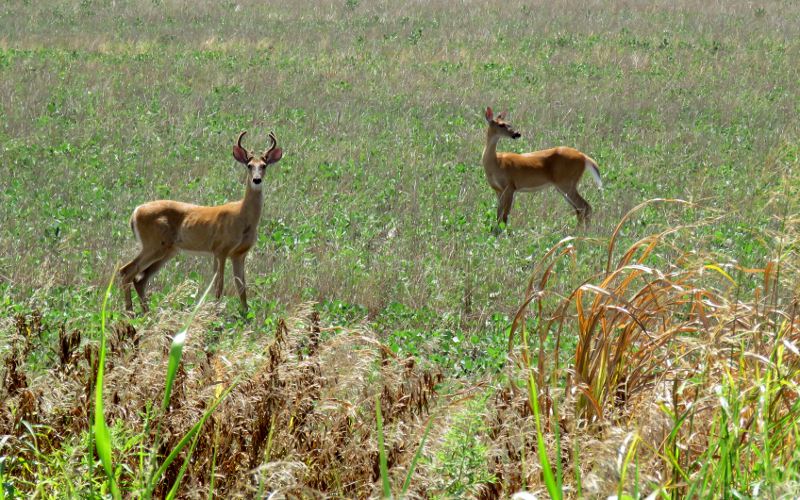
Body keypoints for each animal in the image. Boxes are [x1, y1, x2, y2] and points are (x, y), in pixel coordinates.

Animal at [117, 131, 282, 314]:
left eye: (264, 165)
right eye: (249, 165)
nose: (257, 180)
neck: (242, 217)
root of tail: (135, 212)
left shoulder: (239, 254)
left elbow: (242, 288)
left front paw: (245, 315)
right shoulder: (220, 249)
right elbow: (219, 286)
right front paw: (215, 314)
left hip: (168, 250)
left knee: (140, 278)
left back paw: (146, 313)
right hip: (153, 244)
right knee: (126, 271)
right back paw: (130, 313)